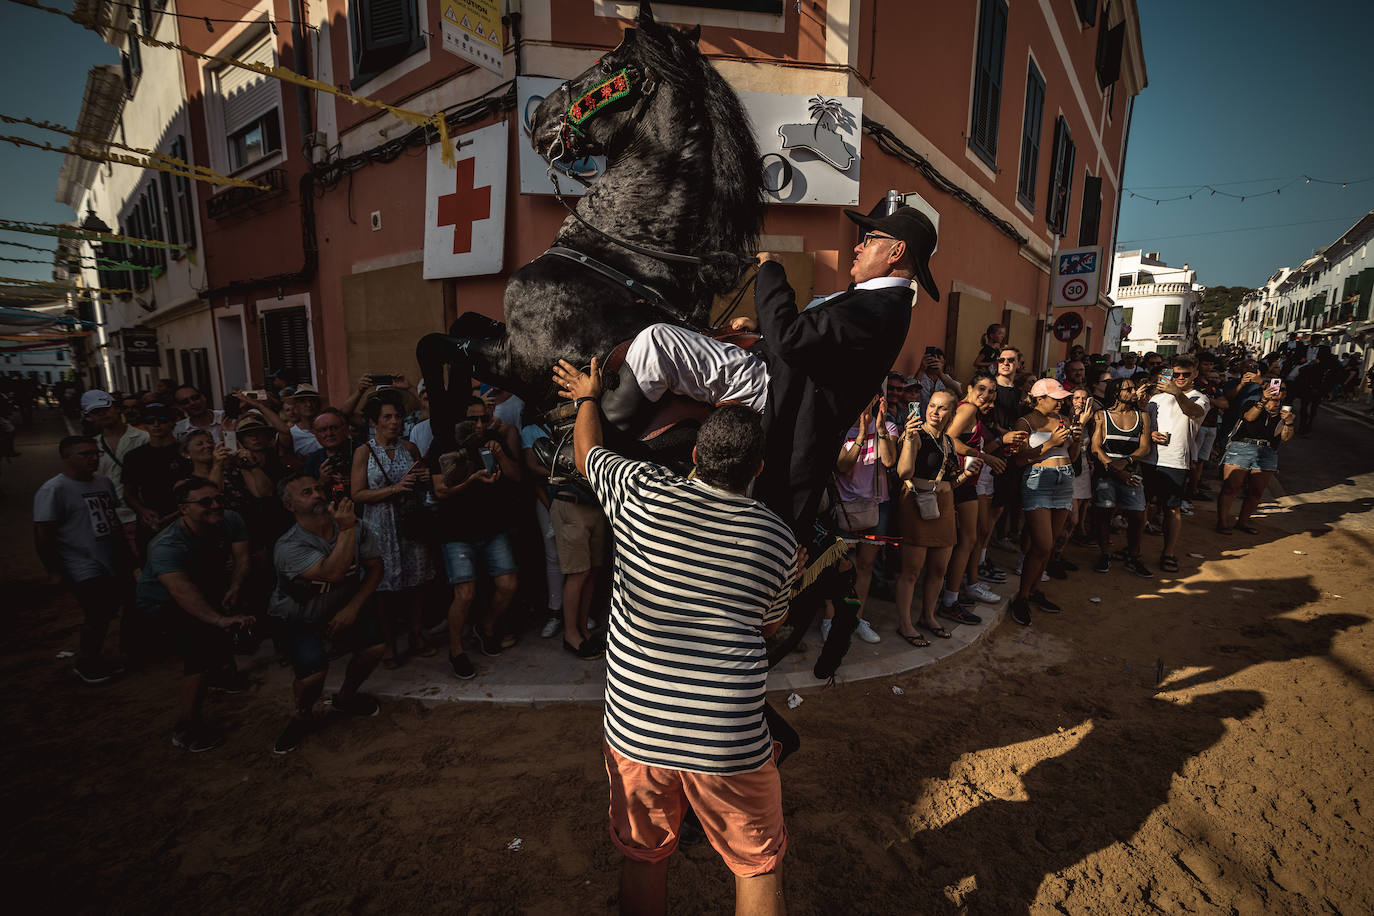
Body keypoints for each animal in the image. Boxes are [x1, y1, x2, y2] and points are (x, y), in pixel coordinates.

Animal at [414, 3, 763, 455]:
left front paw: (443, 431)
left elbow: (436, 343)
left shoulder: (518, 364)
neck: (626, 255)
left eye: (608, 65)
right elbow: (461, 325)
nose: (539, 115)